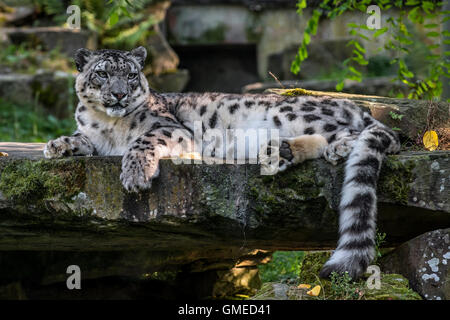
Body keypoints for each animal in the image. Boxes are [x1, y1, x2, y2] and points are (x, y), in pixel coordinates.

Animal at [43, 47, 400, 280]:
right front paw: (57, 146)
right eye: (102, 73)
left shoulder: (173, 129)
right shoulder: (94, 135)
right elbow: (82, 138)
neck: (108, 124)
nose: (118, 95)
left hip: (296, 114)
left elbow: (141, 140)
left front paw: (134, 174)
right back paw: (279, 152)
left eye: (131, 75)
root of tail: (355, 106)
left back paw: (337, 147)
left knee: (375, 135)